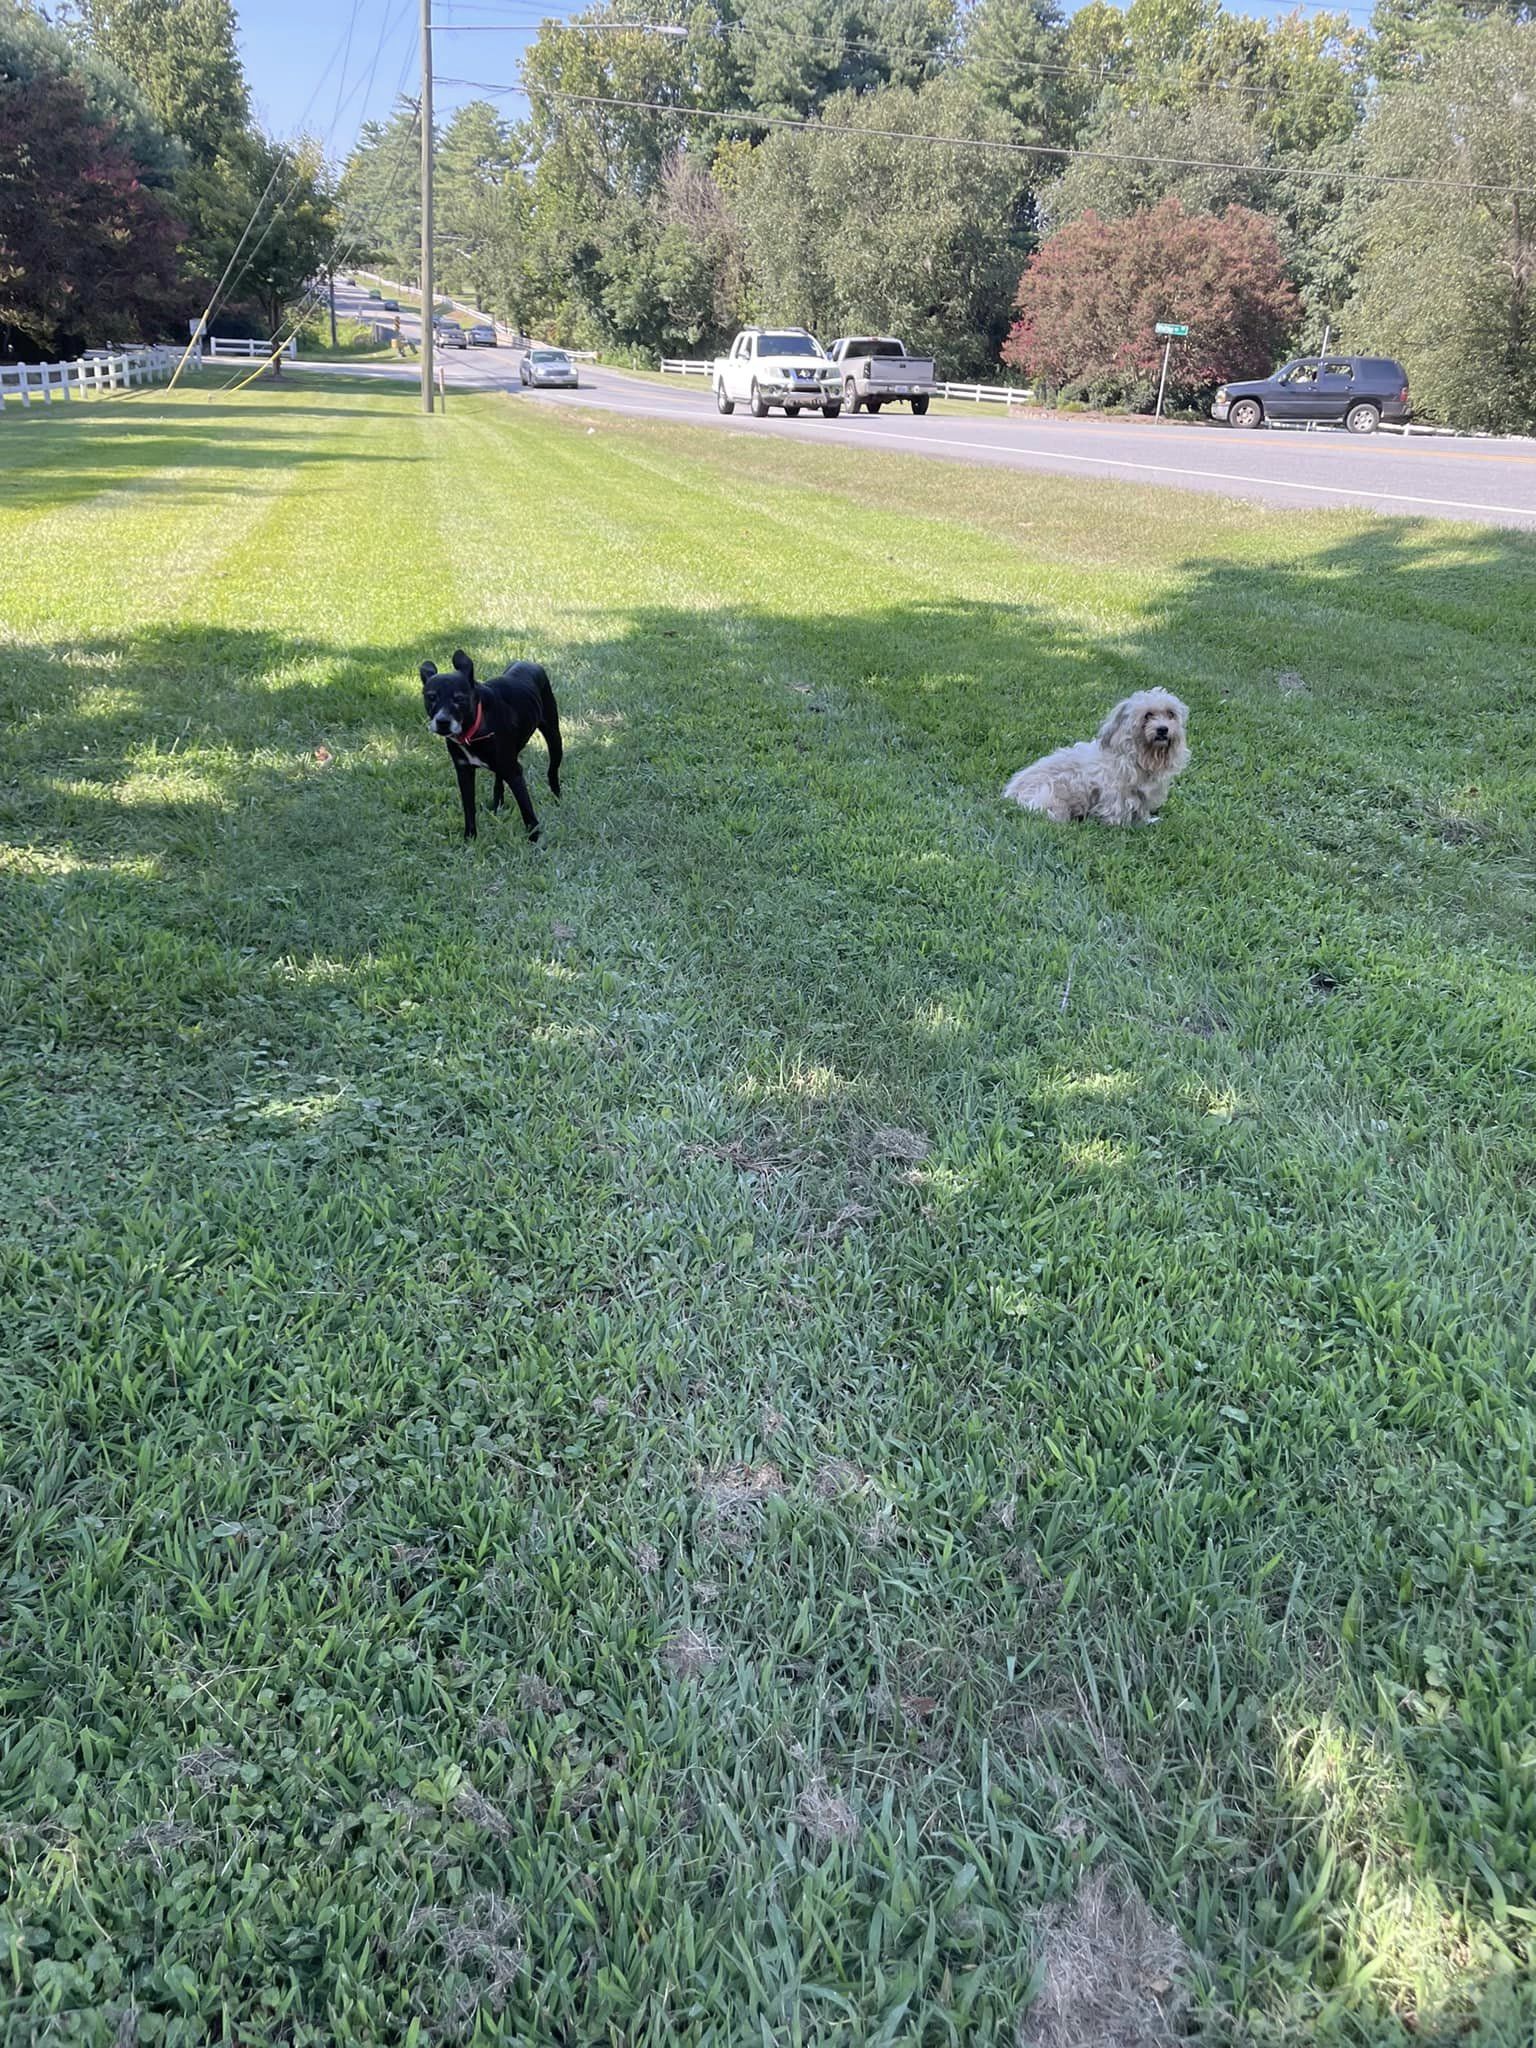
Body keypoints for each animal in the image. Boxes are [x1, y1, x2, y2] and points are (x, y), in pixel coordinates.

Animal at [421, 655, 565, 847]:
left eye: (459, 698)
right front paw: (470, 838)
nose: (443, 722)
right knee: (498, 779)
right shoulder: (464, 772)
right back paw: (498, 805)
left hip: (554, 739)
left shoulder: (514, 772)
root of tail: (530, 662)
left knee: (552, 771)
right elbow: (469, 809)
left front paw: (535, 839)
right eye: (431, 697)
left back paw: (557, 798)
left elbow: (527, 811)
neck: (473, 729)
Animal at [1003, 696, 1196, 823]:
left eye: (1171, 714)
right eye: (1148, 715)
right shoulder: (1116, 792)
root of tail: (1010, 794)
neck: (1139, 756)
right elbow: (1118, 810)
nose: (1163, 729)